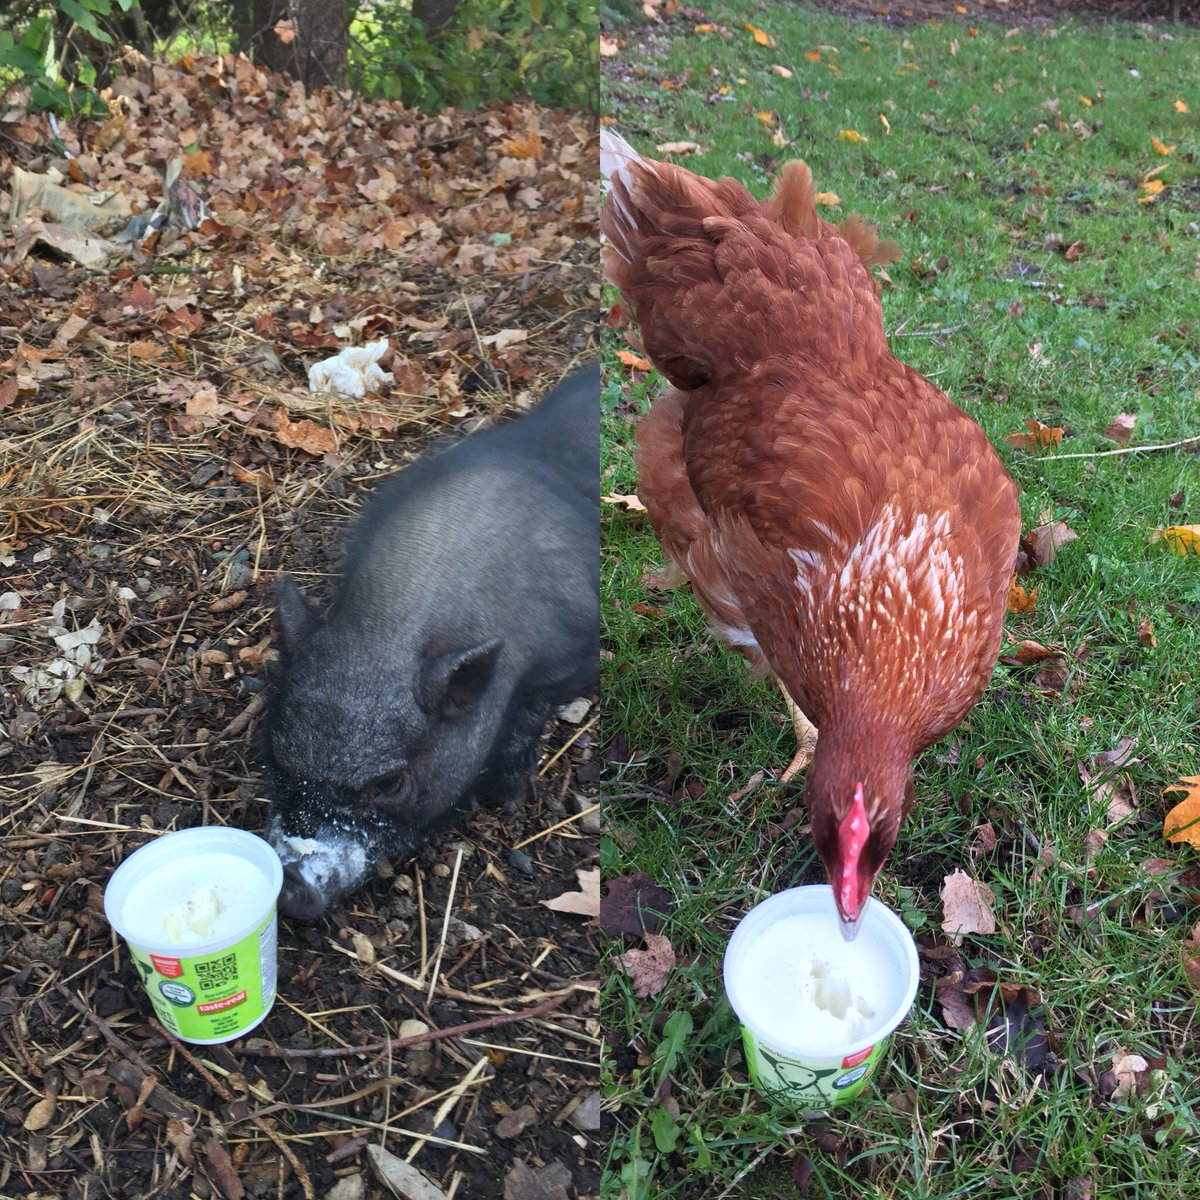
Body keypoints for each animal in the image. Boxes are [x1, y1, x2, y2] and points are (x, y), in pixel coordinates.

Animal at [261, 364, 599, 918]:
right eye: (275, 756)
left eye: (389, 783)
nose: (290, 883)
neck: (389, 625)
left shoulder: (572, 650)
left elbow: (529, 717)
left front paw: (510, 798)